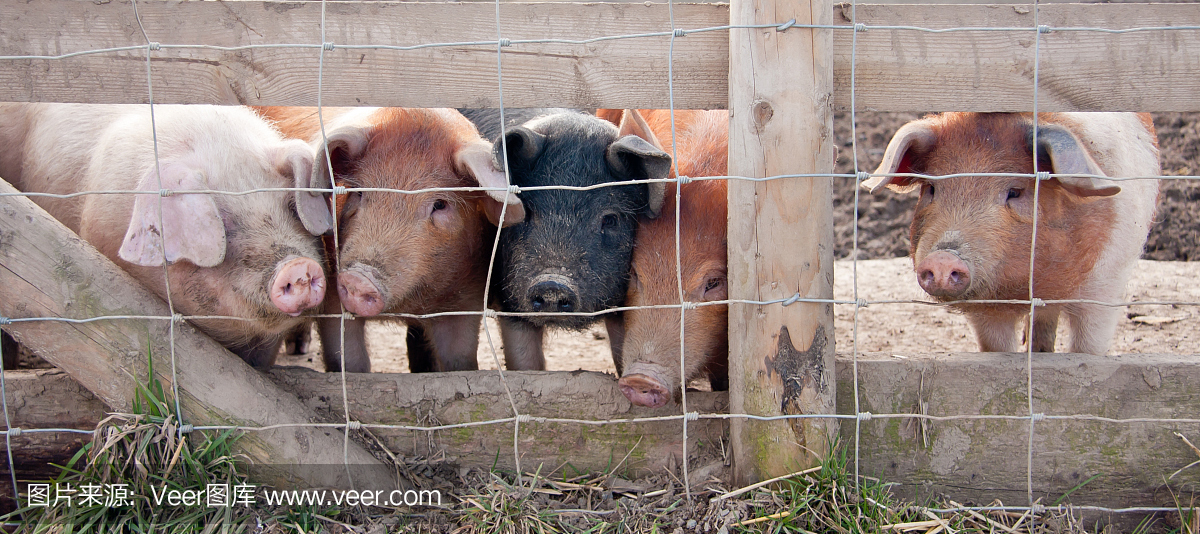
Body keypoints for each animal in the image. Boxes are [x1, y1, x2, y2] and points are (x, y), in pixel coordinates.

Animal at [255, 106, 523, 372]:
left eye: (440, 204)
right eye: (359, 192)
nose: (359, 278)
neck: (407, 306)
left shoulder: (466, 298)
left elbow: (460, 360)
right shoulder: (332, 290)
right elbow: (347, 359)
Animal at [864, 111, 1161, 352]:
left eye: (1015, 191)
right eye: (932, 189)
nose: (942, 259)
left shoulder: (1105, 288)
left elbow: (1087, 350)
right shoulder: (988, 313)